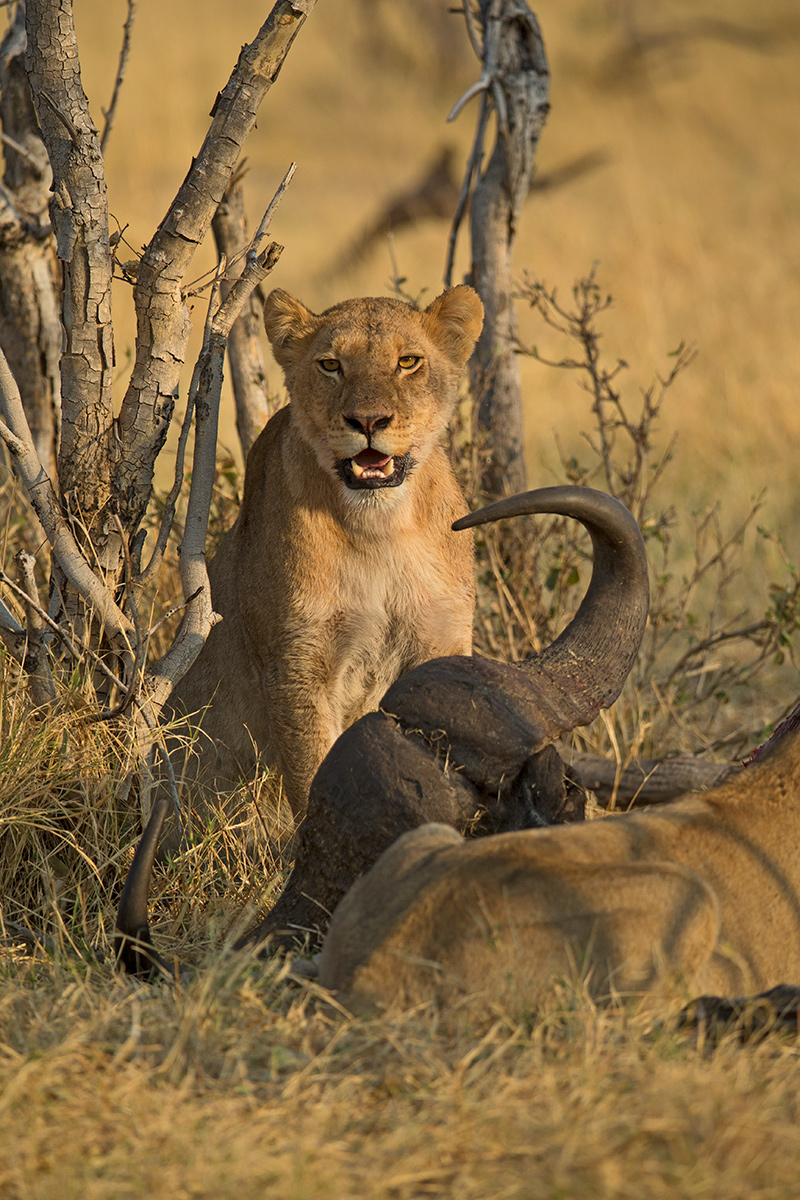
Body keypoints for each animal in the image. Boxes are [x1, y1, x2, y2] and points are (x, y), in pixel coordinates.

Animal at [165, 284, 484, 821]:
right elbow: (314, 772)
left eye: (409, 361)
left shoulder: (441, 640)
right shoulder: (298, 662)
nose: (369, 421)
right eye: (331, 365)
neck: (381, 530)